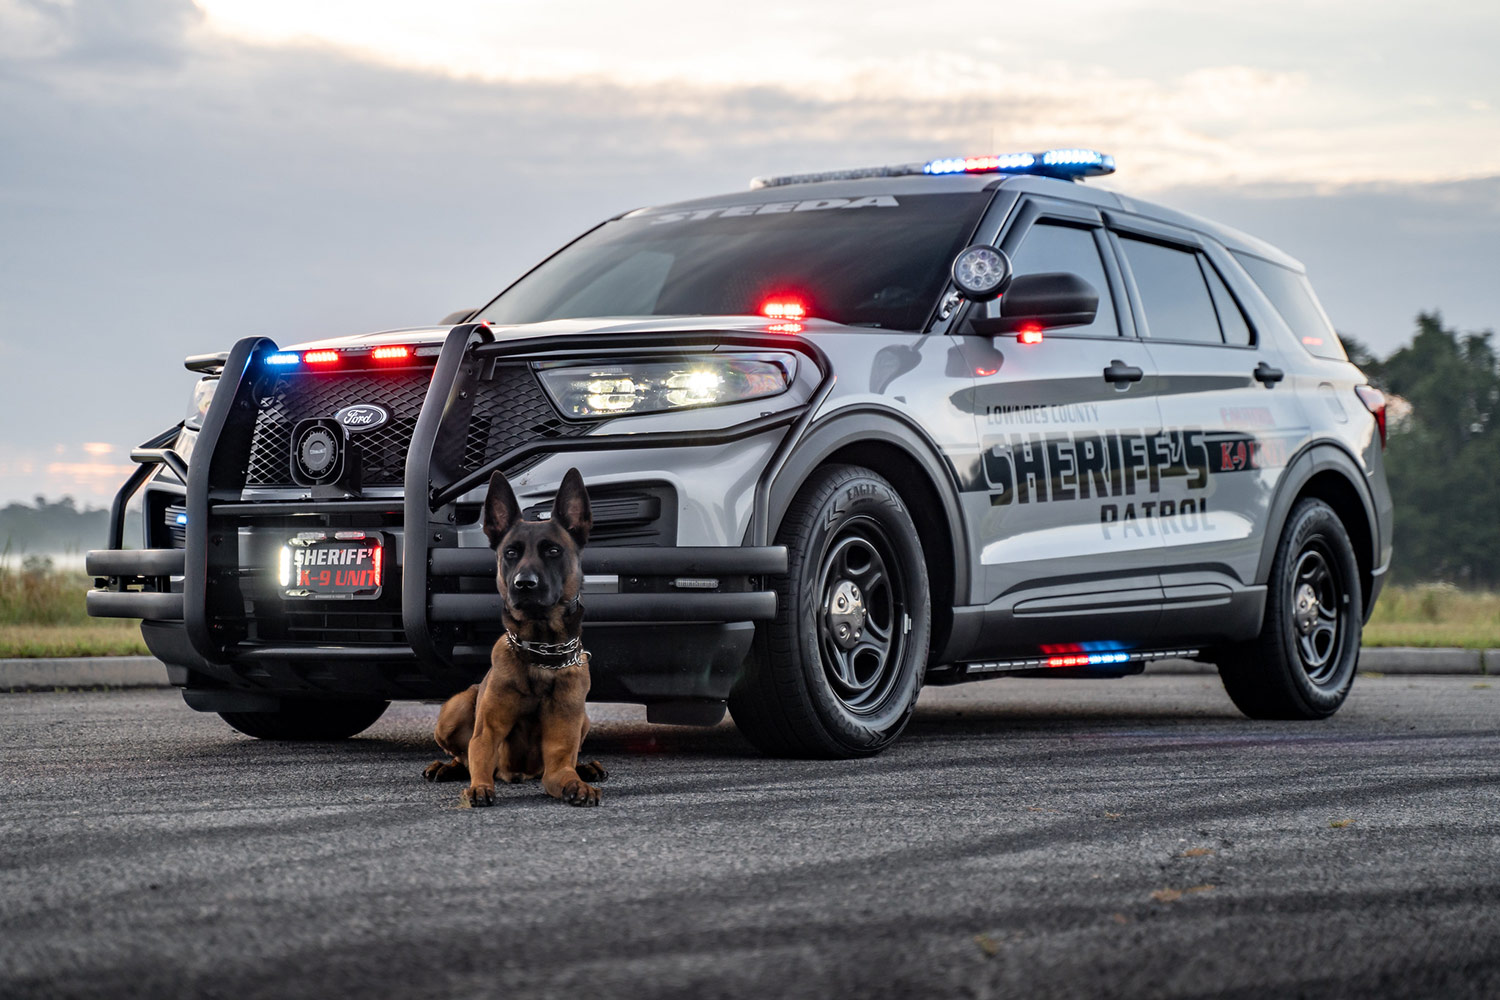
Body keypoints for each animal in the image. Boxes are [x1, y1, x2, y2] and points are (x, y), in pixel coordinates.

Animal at [420, 467, 606, 803]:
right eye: (510, 553)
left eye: (553, 551)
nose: (524, 583)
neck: (540, 652)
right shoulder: (486, 734)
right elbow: (478, 757)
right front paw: (479, 787)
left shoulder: (558, 759)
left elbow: (564, 770)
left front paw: (579, 784)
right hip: (455, 708)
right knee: (460, 756)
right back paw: (446, 767)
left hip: (583, 718)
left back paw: (586, 767)